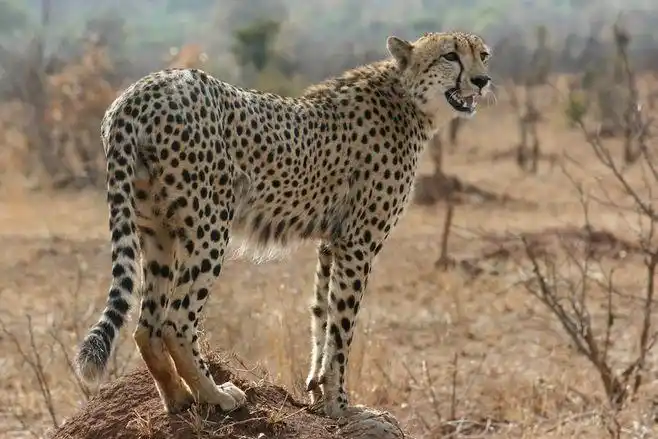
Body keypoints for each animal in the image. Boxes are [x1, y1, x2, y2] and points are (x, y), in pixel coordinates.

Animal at [74, 30, 492, 419]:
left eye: (483, 55)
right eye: (450, 56)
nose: (482, 80)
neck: (408, 99)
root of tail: (140, 90)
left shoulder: (332, 242)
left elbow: (322, 316)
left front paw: (319, 392)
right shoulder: (359, 242)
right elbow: (343, 328)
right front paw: (341, 404)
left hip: (157, 230)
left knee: (147, 325)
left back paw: (178, 400)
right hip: (210, 225)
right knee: (176, 321)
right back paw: (217, 396)